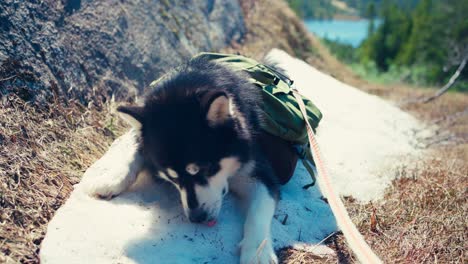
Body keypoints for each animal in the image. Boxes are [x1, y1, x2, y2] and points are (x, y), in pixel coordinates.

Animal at [86, 55, 280, 264]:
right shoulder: (144, 142)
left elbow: (258, 211)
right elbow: (134, 154)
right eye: (173, 178)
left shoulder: (260, 171)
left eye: (207, 169)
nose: (197, 217)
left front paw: (257, 251)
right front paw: (111, 179)